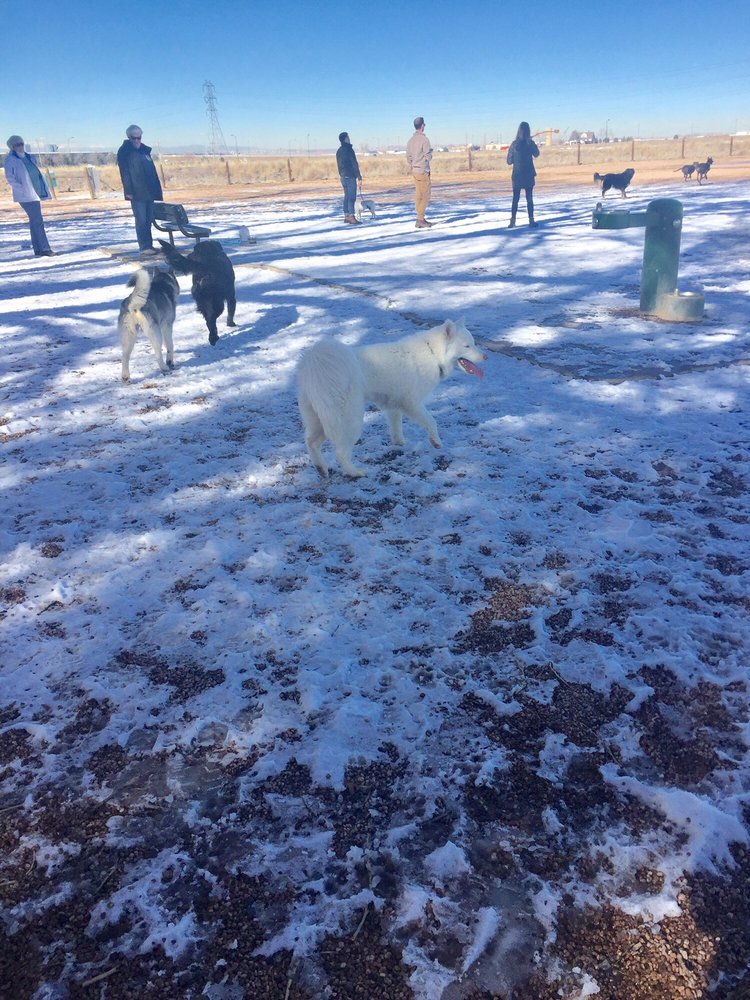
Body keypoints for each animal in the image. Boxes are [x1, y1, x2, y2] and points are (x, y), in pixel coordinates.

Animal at [296, 318, 484, 478]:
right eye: (467, 346)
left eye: (474, 344)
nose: (485, 356)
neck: (432, 353)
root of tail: (315, 363)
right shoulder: (412, 404)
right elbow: (431, 421)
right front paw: (436, 442)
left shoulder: (393, 405)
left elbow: (396, 428)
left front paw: (399, 443)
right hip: (349, 419)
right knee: (340, 452)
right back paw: (354, 472)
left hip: (318, 418)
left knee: (311, 442)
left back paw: (321, 468)